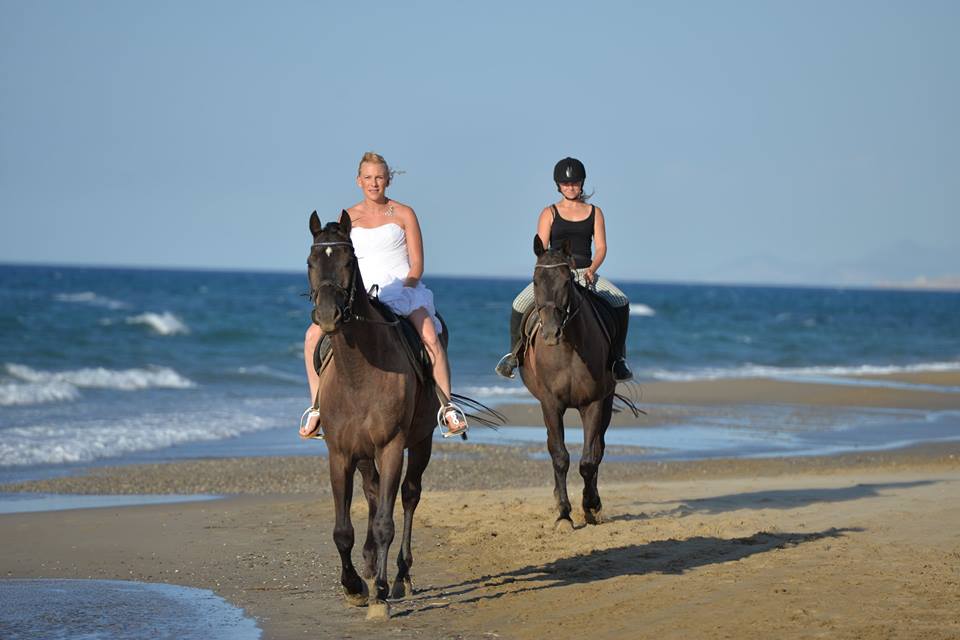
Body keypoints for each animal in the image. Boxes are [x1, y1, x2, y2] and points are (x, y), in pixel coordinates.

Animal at [308, 211, 438, 620]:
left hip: (421, 442)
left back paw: (400, 576)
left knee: (408, 496)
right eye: (311, 262)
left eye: (350, 261)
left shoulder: (392, 446)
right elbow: (342, 529)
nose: (328, 315)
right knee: (372, 492)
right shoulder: (340, 454)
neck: (358, 371)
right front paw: (354, 586)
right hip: (364, 455)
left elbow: (385, 521)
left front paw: (379, 593)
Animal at [520, 235, 620, 528]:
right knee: (554, 446)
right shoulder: (551, 404)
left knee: (599, 448)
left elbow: (588, 459)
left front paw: (590, 505)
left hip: (607, 402)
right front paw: (564, 513)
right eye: (535, 280)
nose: (551, 333)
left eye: (566, 281)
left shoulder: (594, 403)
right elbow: (560, 456)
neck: (569, 349)